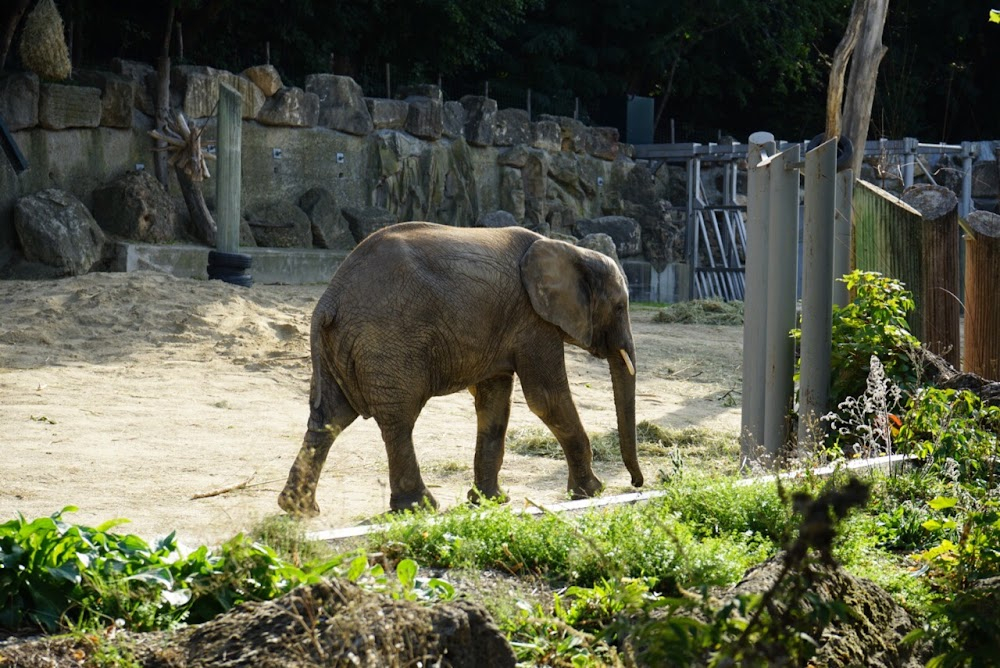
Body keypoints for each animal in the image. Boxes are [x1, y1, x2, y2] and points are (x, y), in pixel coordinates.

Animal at [278, 219, 644, 516]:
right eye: (620, 307)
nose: (636, 484)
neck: (571, 249)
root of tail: (329, 299)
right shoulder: (532, 321)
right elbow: (545, 398)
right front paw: (591, 492)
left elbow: (494, 404)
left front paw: (490, 501)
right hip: (386, 340)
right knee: (398, 419)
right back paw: (419, 507)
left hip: (340, 346)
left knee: (330, 418)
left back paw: (299, 510)